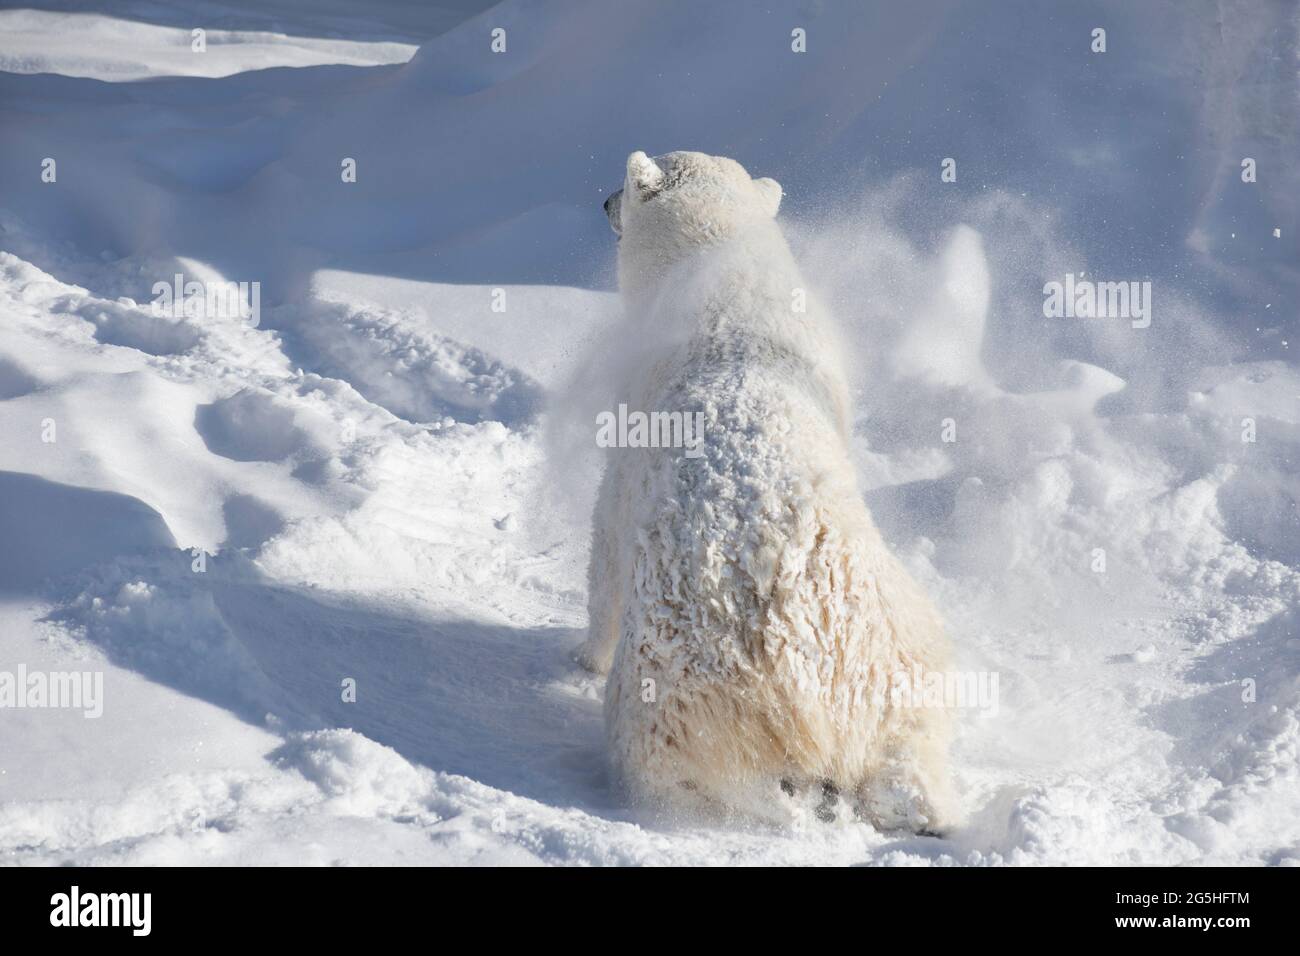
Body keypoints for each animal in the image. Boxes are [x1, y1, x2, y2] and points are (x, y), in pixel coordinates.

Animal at [579, 151, 956, 832]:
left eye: (625, 186)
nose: (602, 203)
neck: (724, 259)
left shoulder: (632, 414)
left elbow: (608, 539)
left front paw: (583, 654)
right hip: (893, 639)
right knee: (913, 727)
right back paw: (919, 807)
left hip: (688, 681)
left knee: (665, 751)